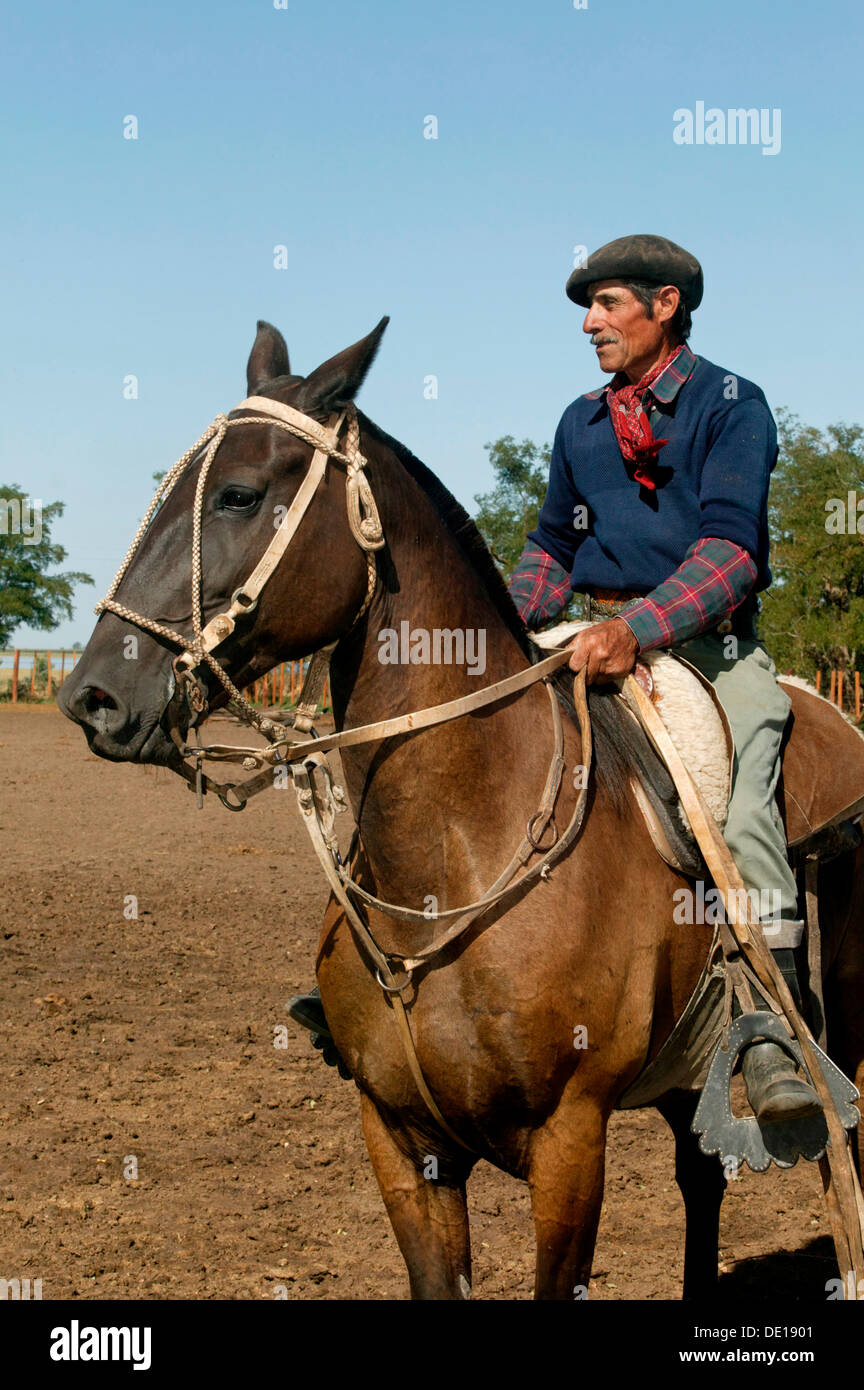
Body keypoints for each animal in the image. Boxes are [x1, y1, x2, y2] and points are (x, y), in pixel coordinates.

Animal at [59, 319, 864, 1295]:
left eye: (241, 495)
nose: (96, 695)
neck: (457, 854)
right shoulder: (401, 1141)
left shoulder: (570, 1141)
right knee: (700, 1178)